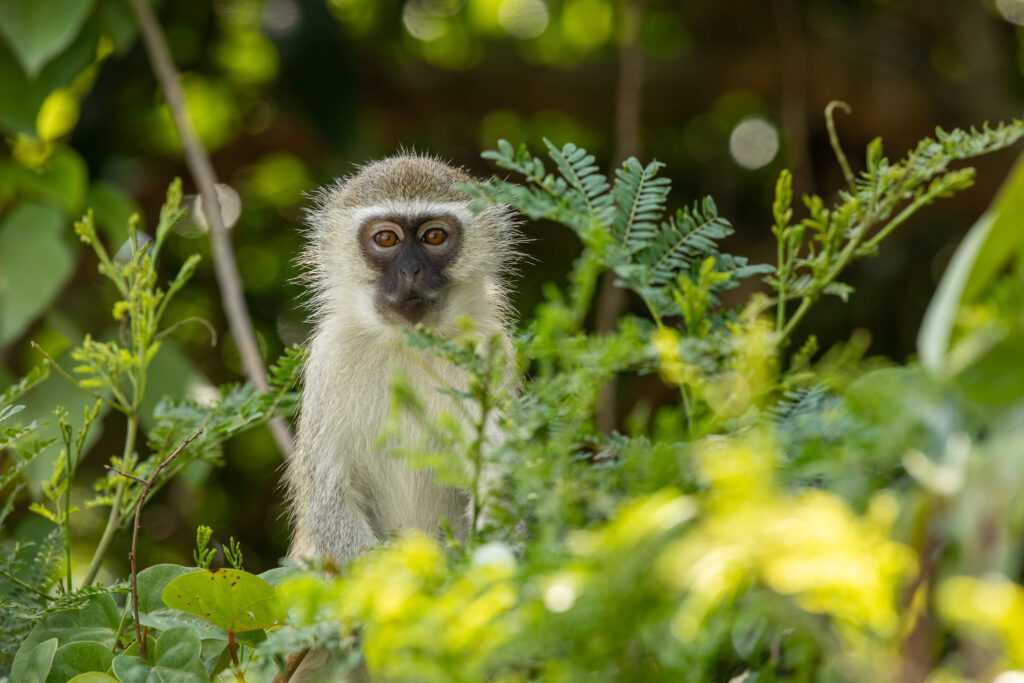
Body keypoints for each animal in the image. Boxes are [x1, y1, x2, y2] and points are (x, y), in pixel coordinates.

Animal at [282, 154, 516, 565]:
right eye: (386, 238)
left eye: (434, 236)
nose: (410, 270)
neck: (408, 341)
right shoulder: (330, 357)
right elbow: (329, 496)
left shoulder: (492, 353)